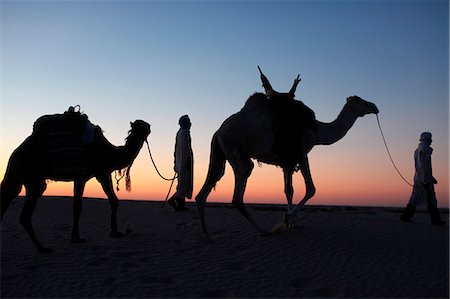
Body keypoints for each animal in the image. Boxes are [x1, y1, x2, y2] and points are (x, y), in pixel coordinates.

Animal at [0, 112, 151, 253]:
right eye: (141, 126)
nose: (148, 127)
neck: (109, 153)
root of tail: (17, 151)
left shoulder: (102, 173)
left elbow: (114, 201)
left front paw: (115, 232)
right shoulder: (82, 174)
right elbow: (77, 206)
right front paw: (76, 237)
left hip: (26, 178)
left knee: (15, 205)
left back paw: (41, 247)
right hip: (27, 175)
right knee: (20, 209)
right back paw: (43, 248)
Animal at [195, 68, 378, 239]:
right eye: (359, 100)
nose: (375, 106)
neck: (318, 130)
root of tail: (218, 132)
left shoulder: (286, 161)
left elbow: (289, 190)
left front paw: (293, 223)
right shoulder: (302, 153)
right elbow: (311, 189)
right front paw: (287, 219)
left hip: (221, 154)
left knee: (209, 185)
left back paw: (207, 236)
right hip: (238, 154)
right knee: (237, 196)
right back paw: (264, 231)